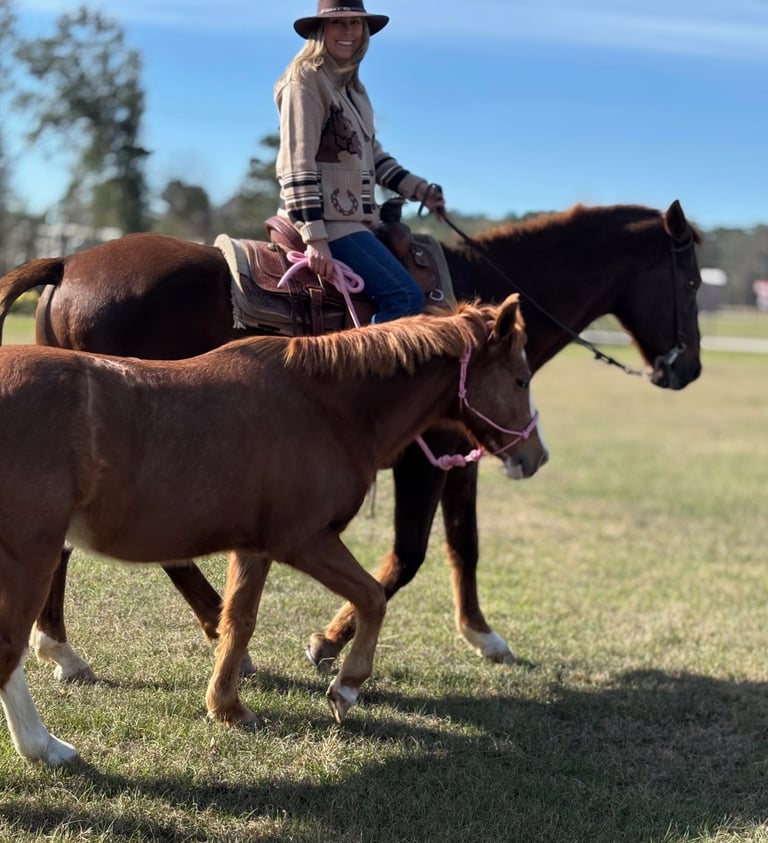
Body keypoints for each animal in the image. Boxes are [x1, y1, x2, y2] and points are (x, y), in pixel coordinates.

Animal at [0, 200, 702, 679]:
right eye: (692, 282)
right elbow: (408, 556)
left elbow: (464, 545)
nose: (687, 369)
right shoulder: (423, 462)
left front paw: (482, 635)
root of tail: (67, 260)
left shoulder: (464, 458)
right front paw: (328, 642)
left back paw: (69, 645)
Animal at [0, 296, 547, 766]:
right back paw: (43, 745)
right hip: (29, 557)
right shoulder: (304, 541)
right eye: (521, 379)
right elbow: (373, 597)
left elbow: (239, 620)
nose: (535, 457)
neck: (325, 406)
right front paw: (346, 684)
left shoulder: (255, 548)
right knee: (9, 650)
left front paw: (226, 706)